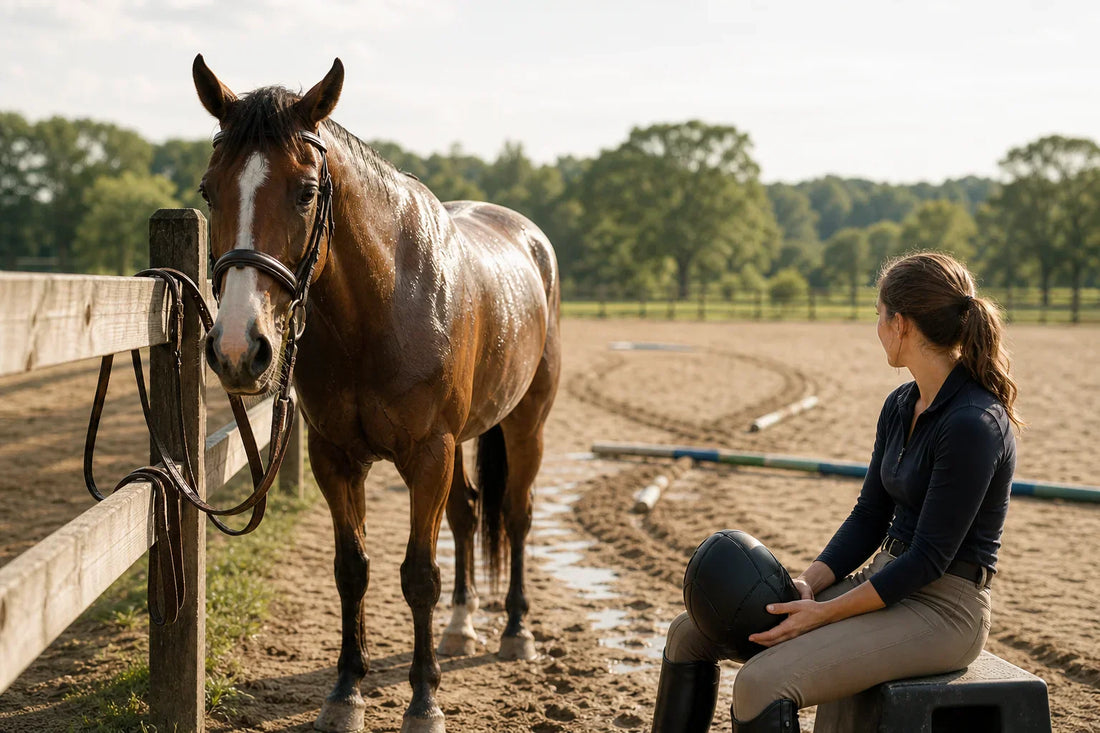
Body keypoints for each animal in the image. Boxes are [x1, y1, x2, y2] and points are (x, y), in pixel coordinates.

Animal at [192, 55, 561, 733]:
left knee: (516, 516)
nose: (236, 349)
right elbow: (352, 570)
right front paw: (345, 692)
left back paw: (515, 632)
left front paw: (424, 701)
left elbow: (418, 575)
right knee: (468, 514)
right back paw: (462, 626)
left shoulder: (428, 455)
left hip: (526, 425)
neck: (381, 307)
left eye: (306, 191)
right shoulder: (336, 458)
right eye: (210, 190)